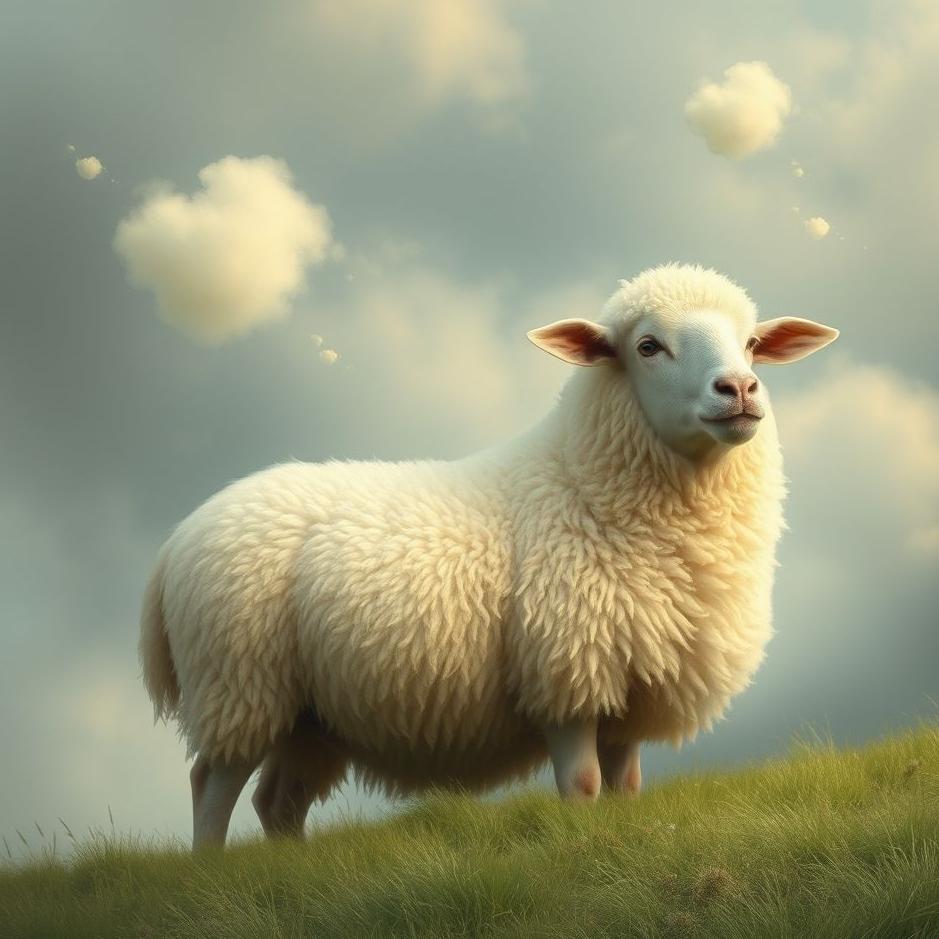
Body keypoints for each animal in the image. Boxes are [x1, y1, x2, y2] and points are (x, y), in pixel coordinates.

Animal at [140, 263, 839, 849]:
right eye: (647, 346)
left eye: (752, 343)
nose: (740, 388)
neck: (581, 484)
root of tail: (176, 540)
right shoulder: (566, 671)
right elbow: (583, 787)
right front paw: (584, 847)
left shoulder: (631, 686)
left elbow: (626, 790)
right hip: (237, 679)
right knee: (212, 784)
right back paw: (211, 869)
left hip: (309, 714)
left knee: (277, 802)